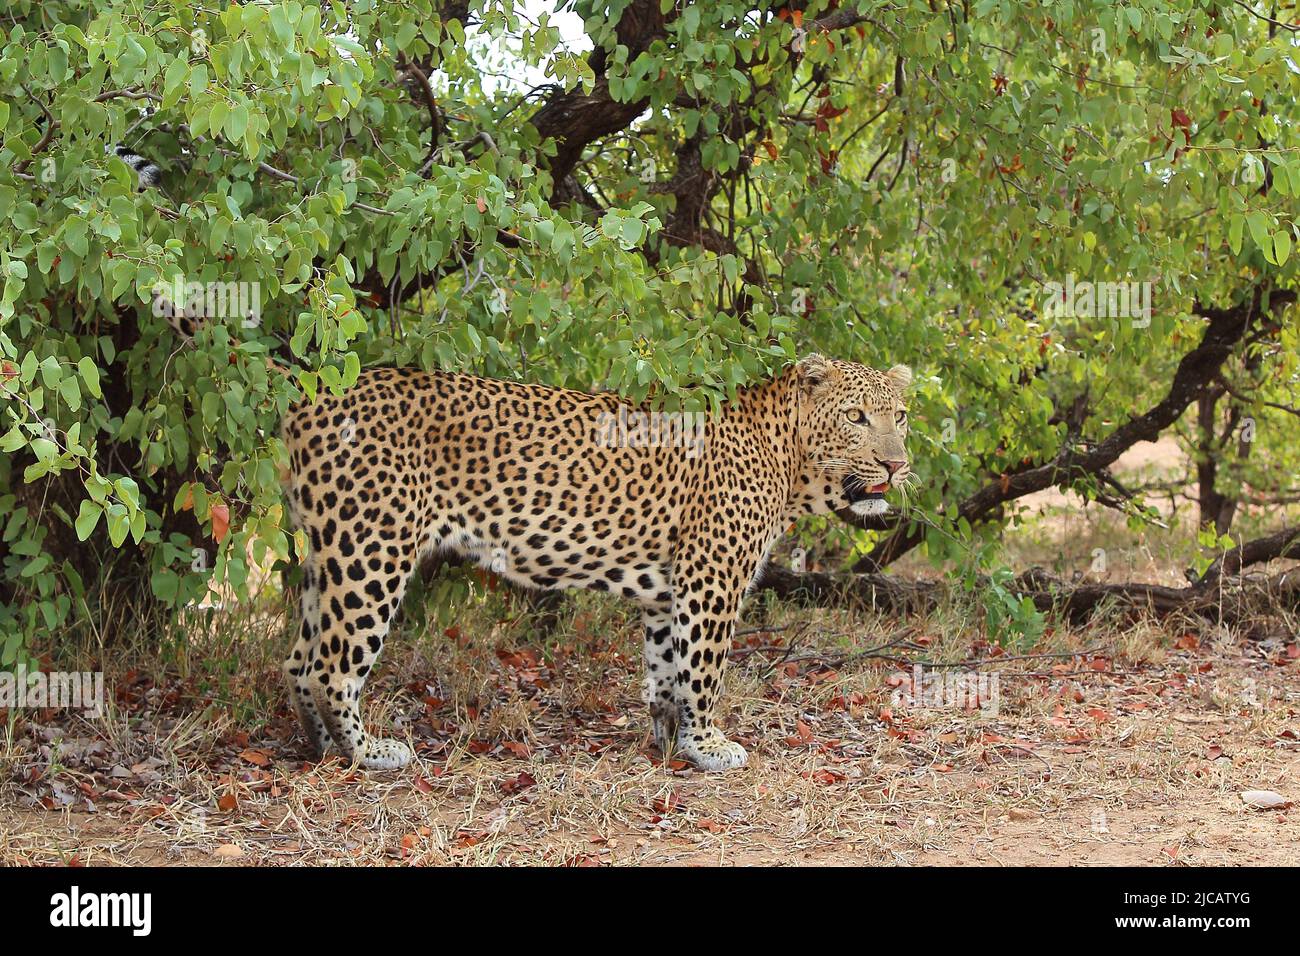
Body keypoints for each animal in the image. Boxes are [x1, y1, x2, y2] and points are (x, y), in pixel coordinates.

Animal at [279, 354, 913, 771]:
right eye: (856, 417)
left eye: (901, 417)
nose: (896, 464)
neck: (790, 465)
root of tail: (308, 401)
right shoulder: (710, 580)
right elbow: (705, 670)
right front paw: (709, 745)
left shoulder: (668, 593)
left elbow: (666, 672)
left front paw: (671, 742)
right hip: (373, 548)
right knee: (331, 666)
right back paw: (368, 753)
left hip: (328, 554)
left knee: (298, 660)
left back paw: (319, 749)